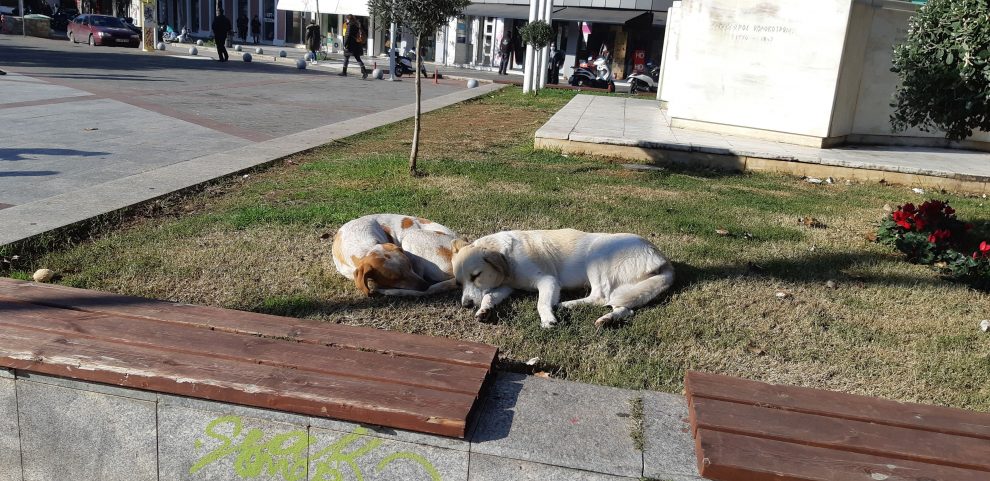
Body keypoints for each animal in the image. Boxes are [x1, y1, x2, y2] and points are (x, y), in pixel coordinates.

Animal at [454, 228, 680, 326]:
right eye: (459, 282)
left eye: (476, 275)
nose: (465, 305)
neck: (508, 258)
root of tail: (662, 258)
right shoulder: (507, 287)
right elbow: (488, 296)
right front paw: (484, 310)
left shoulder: (548, 281)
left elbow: (541, 303)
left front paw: (548, 318)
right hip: (629, 290)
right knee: (625, 309)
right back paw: (607, 319)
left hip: (596, 256)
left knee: (600, 297)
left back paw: (566, 305)